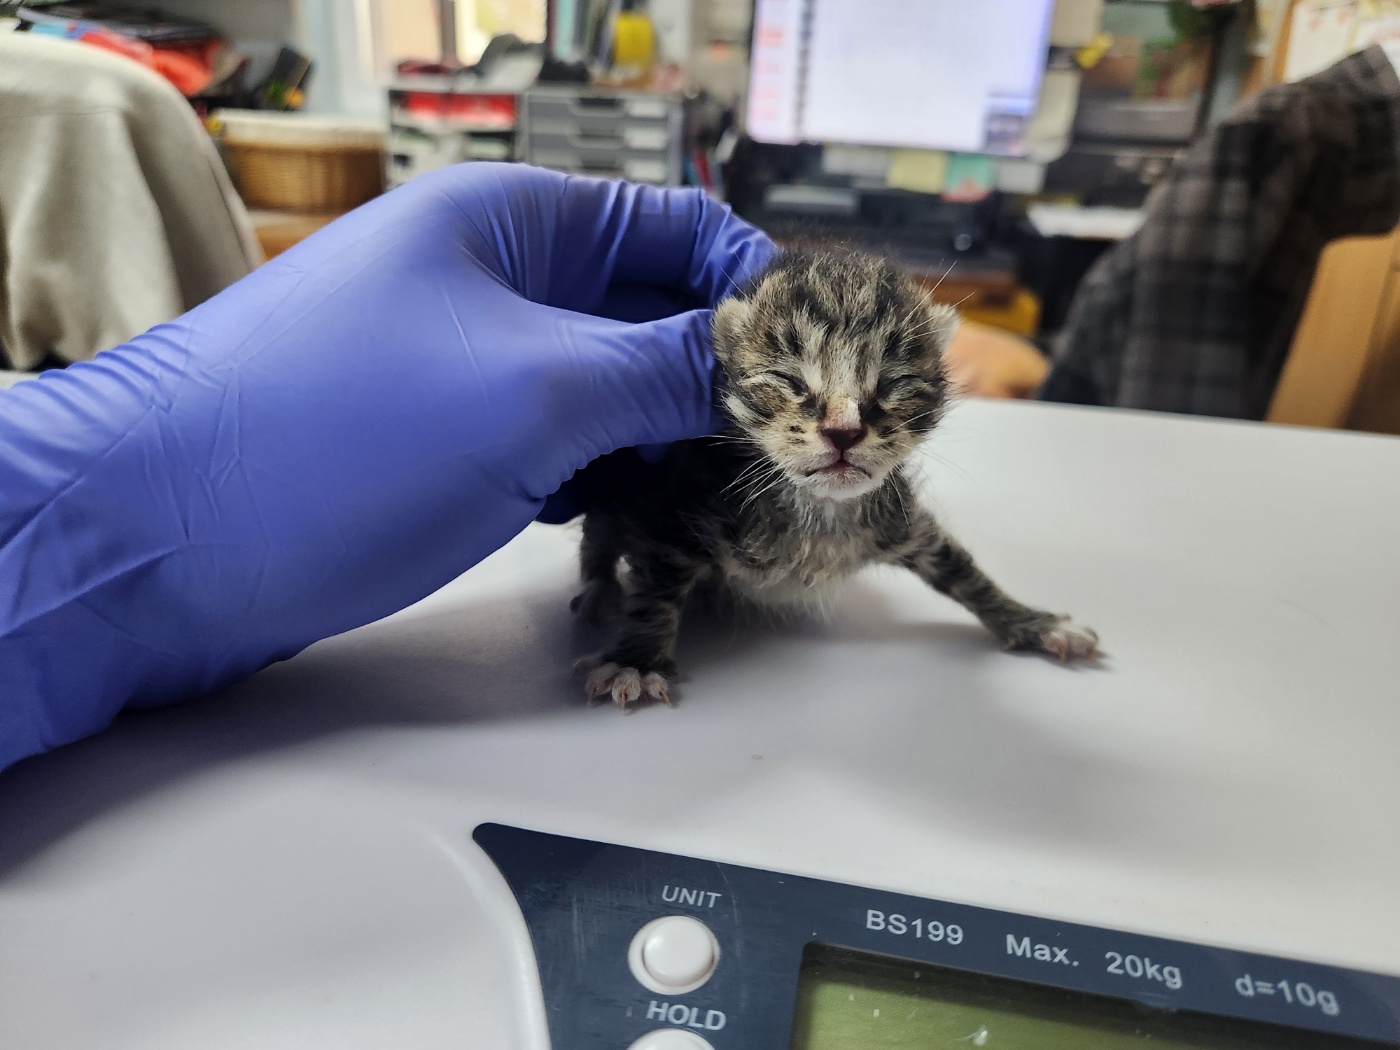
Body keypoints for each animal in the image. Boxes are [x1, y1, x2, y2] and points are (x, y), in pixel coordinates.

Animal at [568, 249, 1092, 708]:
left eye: (892, 383)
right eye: (789, 380)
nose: (844, 430)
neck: (819, 509)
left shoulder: (900, 520)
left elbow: (963, 569)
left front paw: (1033, 621)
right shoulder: (677, 512)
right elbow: (656, 589)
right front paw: (636, 660)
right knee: (598, 536)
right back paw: (599, 590)